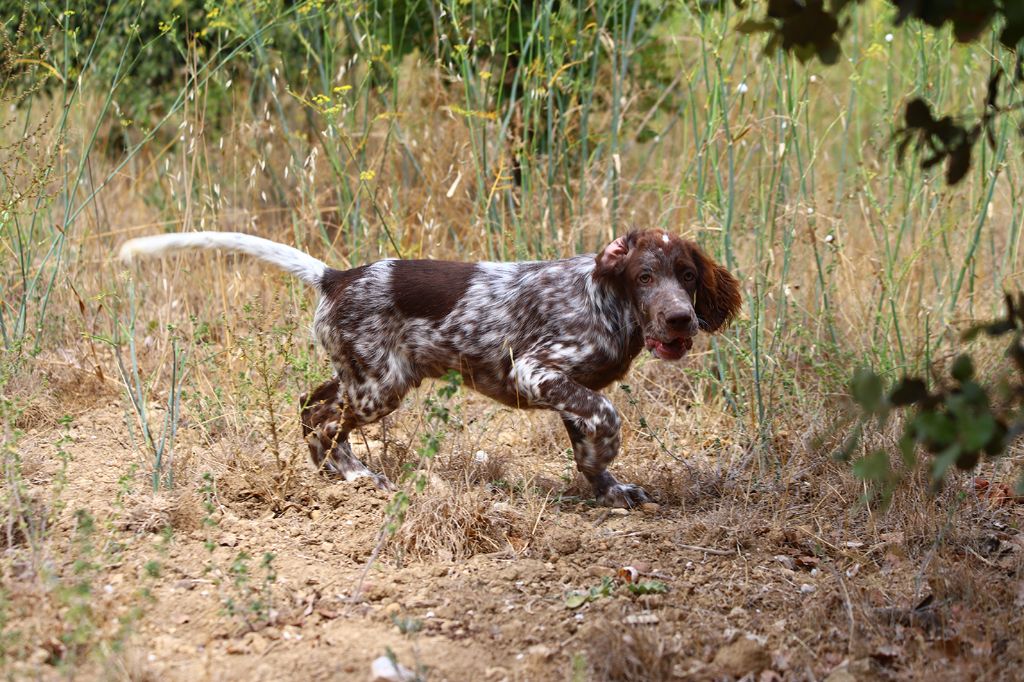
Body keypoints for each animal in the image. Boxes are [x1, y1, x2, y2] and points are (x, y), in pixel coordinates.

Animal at [123, 228, 741, 503]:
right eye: (644, 276)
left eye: (688, 275)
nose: (682, 320)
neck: (603, 301)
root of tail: (336, 276)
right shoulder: (536, 371)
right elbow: (607, 415)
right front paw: (608, 456)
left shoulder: (568, 387)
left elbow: (588, 446)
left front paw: (608, 485)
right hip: (380, 385)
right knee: (323, 419)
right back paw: (355, 476)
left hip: (367, 375)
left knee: (310, 404)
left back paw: (340, 471)